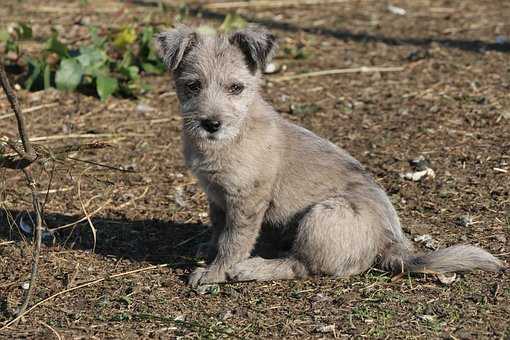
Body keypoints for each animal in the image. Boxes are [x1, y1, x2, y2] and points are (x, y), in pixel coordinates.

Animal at [154, 24, 502, 286]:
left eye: (236, 88)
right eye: (193, 86)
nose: (211, 124)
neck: (232, 137)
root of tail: (391, 245)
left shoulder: (247, 200)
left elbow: (233, 241)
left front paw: (216, 271)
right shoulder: (216, 195)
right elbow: (218, 228)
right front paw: (208, 250)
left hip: (322, 216)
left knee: (300, 265)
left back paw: (253, 268)